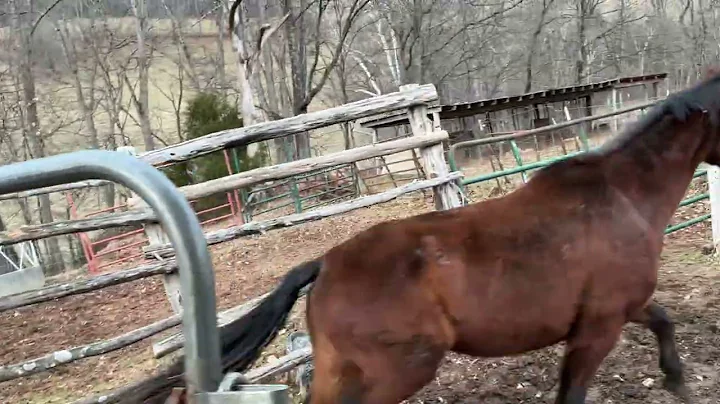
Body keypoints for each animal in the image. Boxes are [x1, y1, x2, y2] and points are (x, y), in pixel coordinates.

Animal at [118, 71, 720, 404]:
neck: (623, 196)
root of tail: (325, 264)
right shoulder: (597, 326)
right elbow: (571, 392)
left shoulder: (623, 307)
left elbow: (664, 319)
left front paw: (676, 381)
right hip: (399, 370)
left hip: (340, 367)